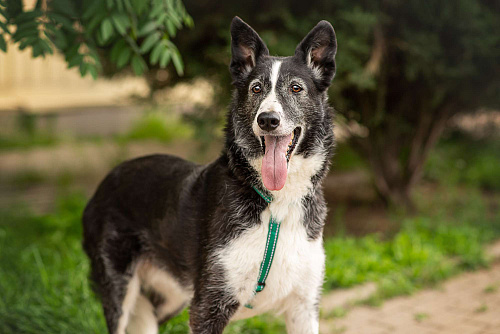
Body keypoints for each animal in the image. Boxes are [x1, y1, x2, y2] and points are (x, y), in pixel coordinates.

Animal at [84, 16, 338, 334]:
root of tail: (105, 182)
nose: (267, 120)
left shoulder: (304, 307)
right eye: (256, 89)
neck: (275, 203)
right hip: (120, 291)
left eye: (295, 88)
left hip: (169, 298)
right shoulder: (207, 307)